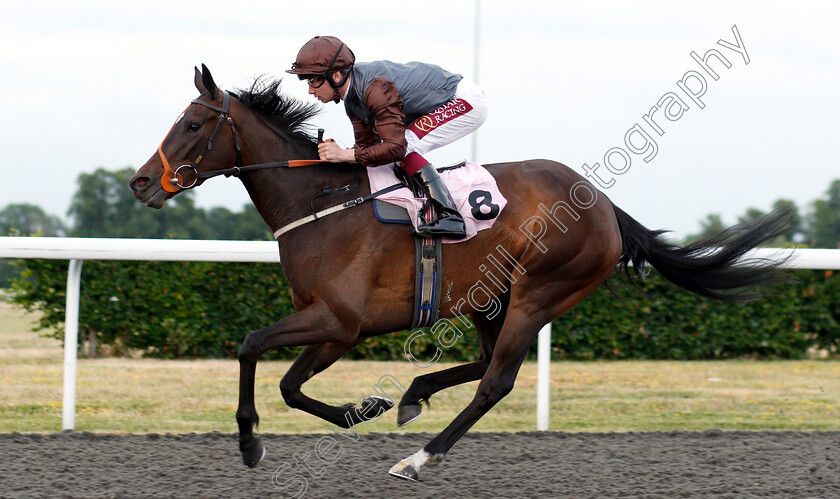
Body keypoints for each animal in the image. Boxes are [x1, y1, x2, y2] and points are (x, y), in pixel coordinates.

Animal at [128, 65, 792, 480]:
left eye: (192, 124)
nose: (139, 183)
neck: (319, 202)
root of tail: (605, 205)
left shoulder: (339, 322)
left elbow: (252, 348)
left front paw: (250, 443)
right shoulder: (333, 328)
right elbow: (290, 385)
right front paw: (364, 408)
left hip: (540, 291)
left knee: (496, 381)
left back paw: (418, 459)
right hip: (490, 296)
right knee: (488, 363)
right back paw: (413, 396)